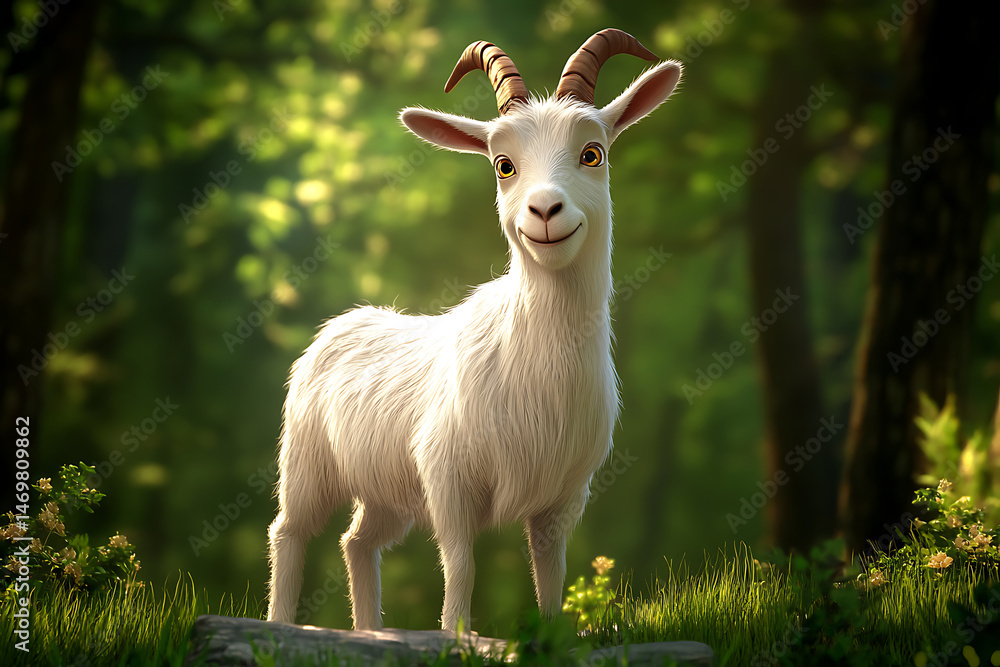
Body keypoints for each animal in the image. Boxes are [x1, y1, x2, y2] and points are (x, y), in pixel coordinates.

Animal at [266, 28, 682, 631]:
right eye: (503, 164)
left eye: (593, 153)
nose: (545, 210)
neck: (534, 363)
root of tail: (340, 325)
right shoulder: (446, 478)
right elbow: (461, 566)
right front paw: (456, 635)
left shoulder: (561, 496)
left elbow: (551, 574)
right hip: (307, 463)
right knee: (290, 531)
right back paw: (278, 624)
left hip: (387, 492)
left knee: (357, 542)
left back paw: (372, 631)